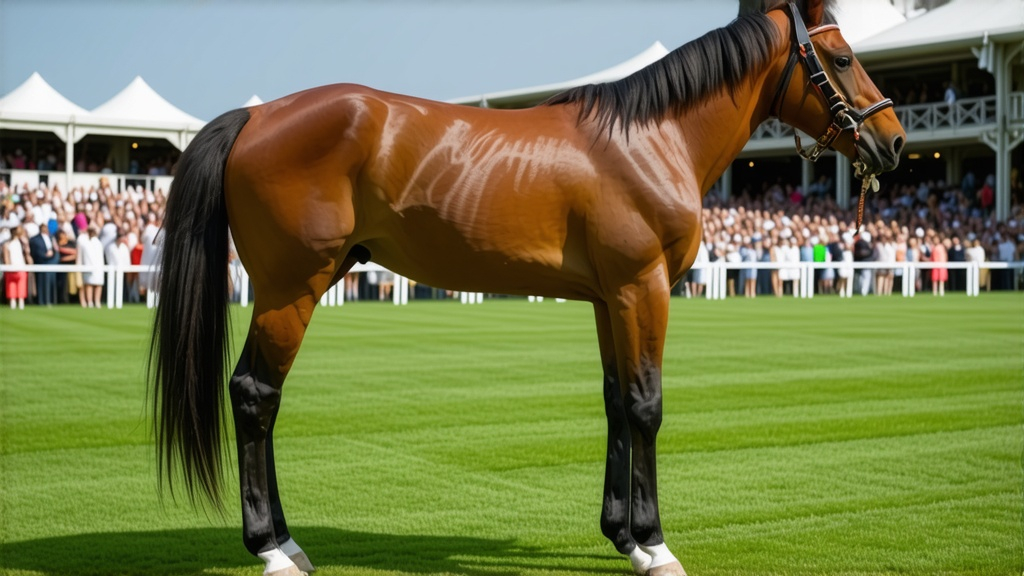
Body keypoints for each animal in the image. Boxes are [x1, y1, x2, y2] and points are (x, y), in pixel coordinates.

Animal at [149, 1, 905, 573]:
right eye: (841, 59)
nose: (895, 142)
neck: (650, 138)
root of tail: (256, 115)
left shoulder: (610, 297)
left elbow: (615, 404)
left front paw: (623, 536)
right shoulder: (644, 287)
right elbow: (647, 405)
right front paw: (656, 544)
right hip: (292, 286)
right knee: (255, 395)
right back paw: (273, 548)